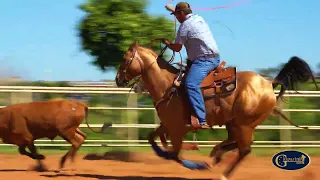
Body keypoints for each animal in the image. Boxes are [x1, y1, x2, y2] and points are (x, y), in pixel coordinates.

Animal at [115, 40, 318, 179]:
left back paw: (222, 171)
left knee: (244, 149)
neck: (168, 86)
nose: (118, 79)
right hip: (234, 123)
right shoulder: (168, 125)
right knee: (237, 143)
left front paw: (197, 164)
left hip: (244, 124)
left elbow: (175, 154)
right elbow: (154, 139)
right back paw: (216, 154)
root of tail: (268, 84)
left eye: (124, 59)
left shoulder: (178, 129)